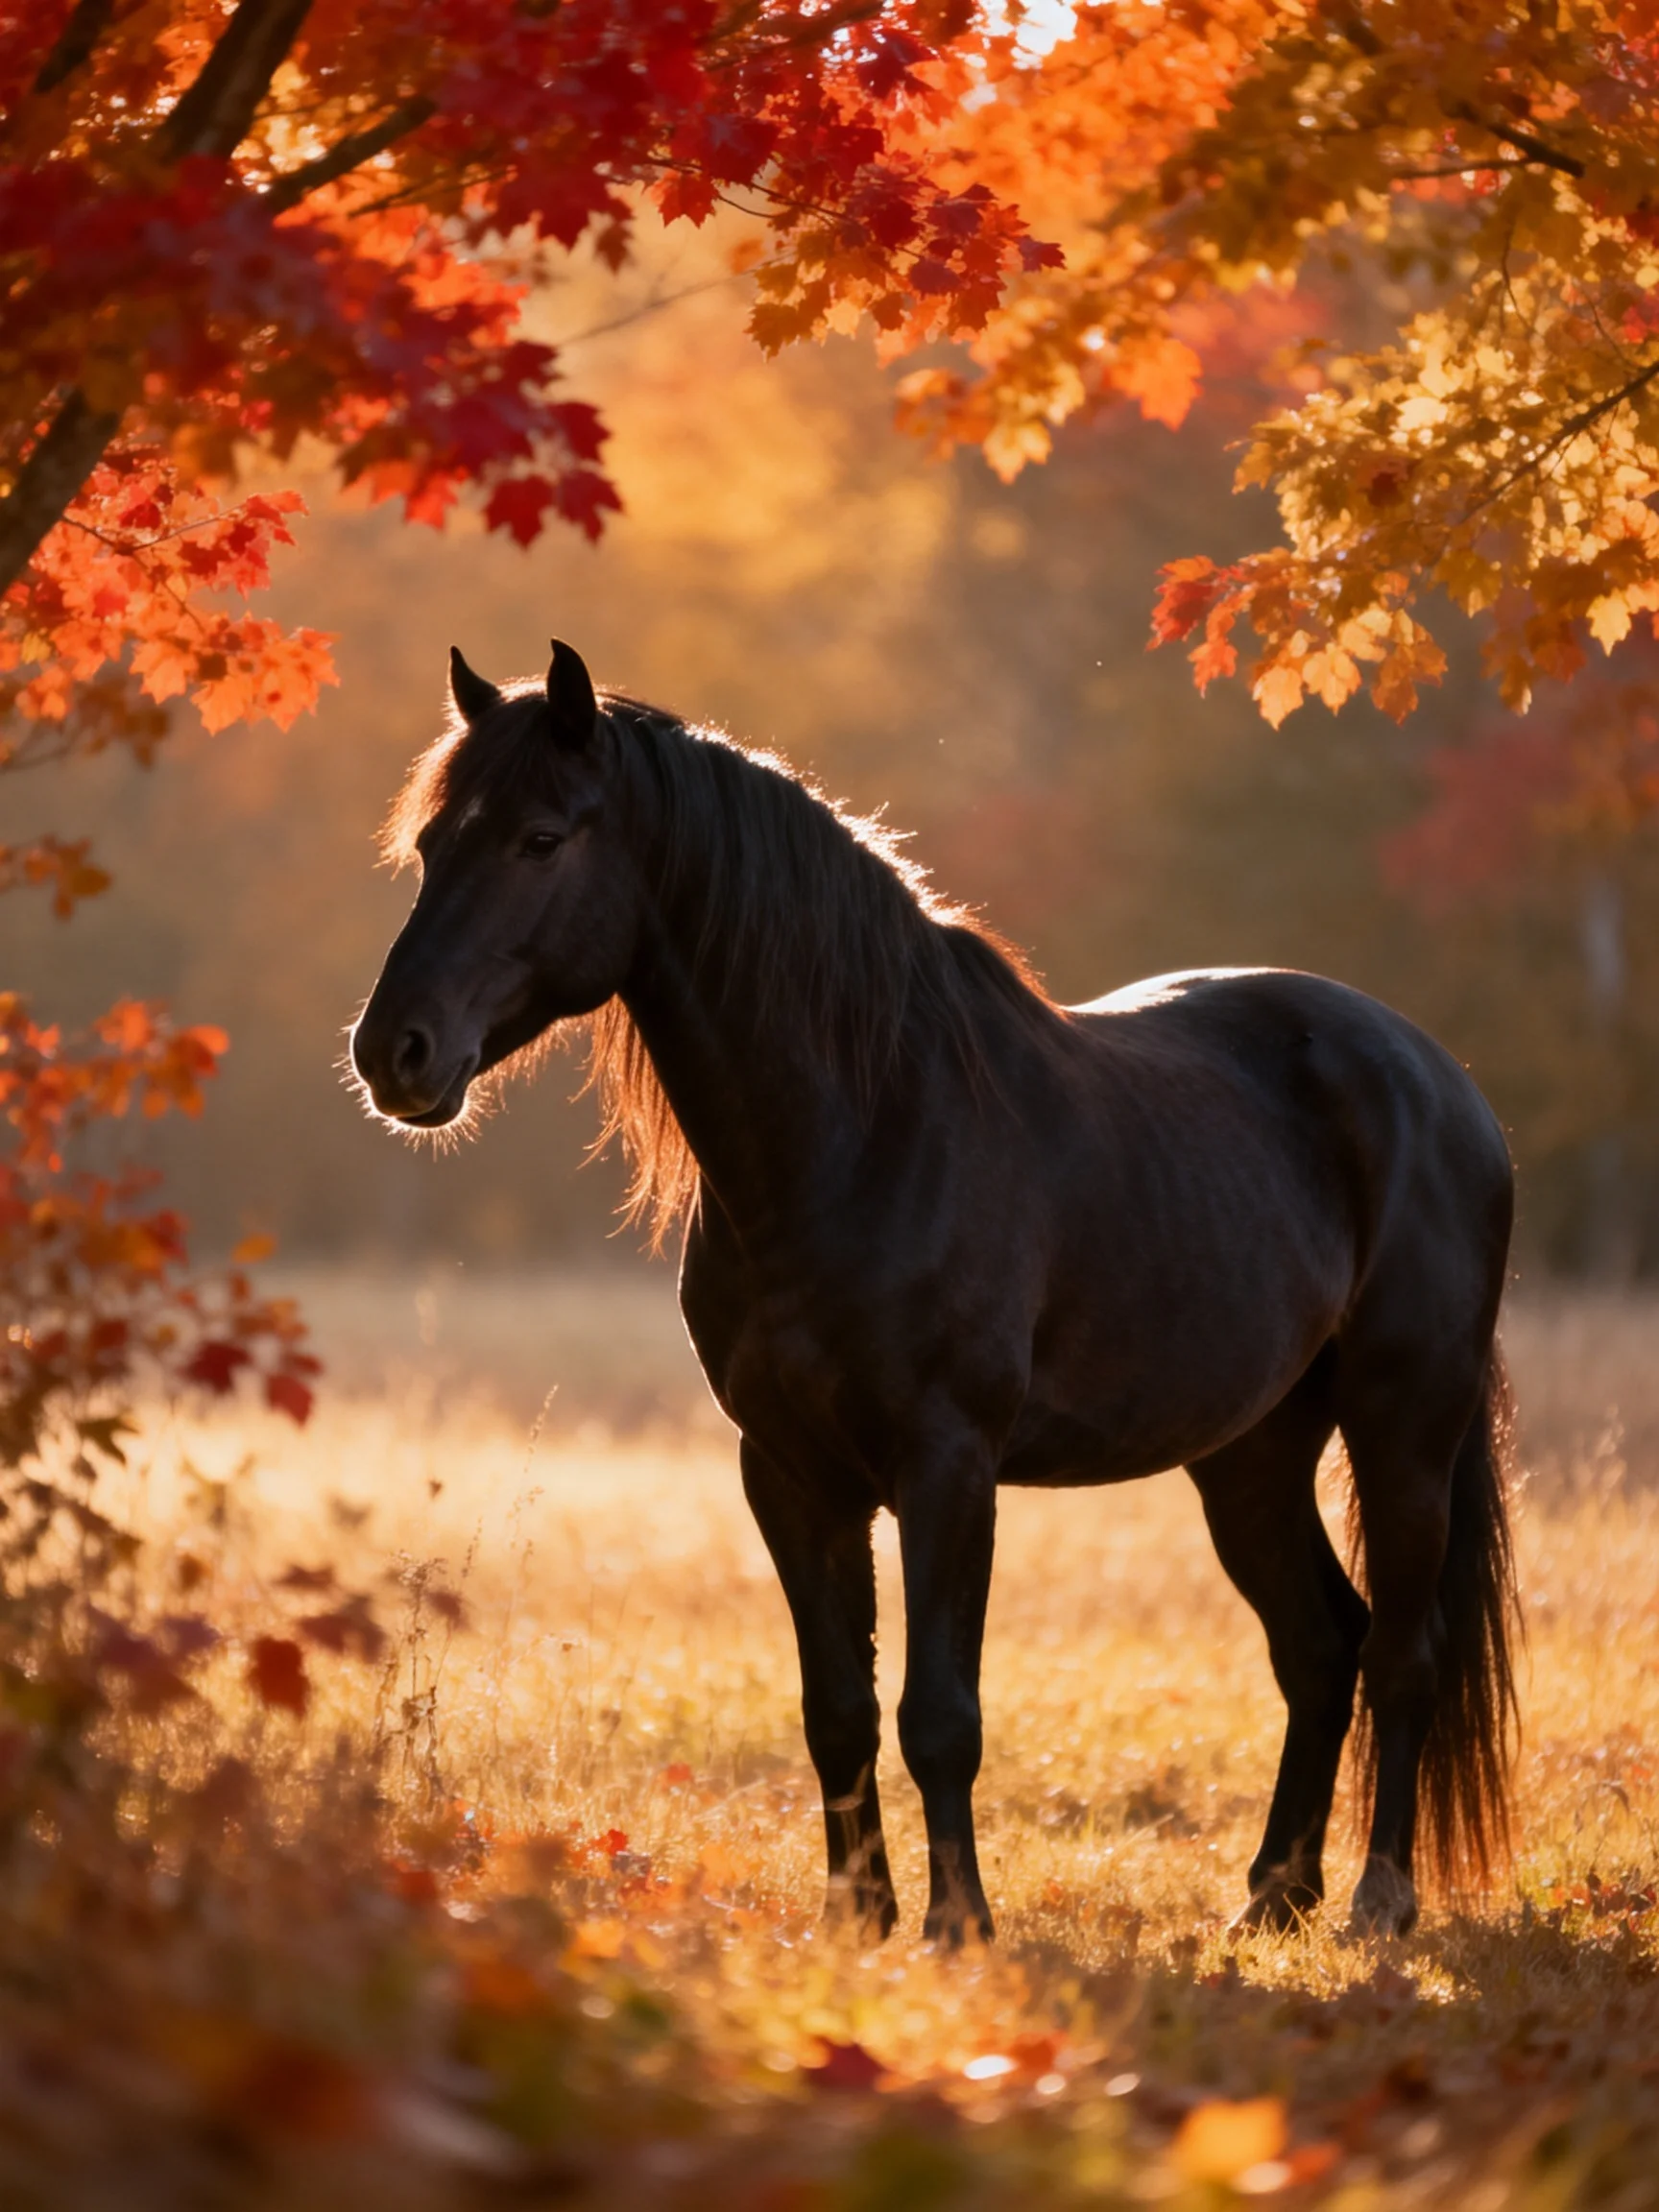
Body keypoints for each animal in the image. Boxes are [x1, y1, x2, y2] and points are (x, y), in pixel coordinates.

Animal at [351, 637, 1520, 1945]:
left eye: (542, 839)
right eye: (429, 844)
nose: (393, 1051)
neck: (860, 1135)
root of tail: (1440, 1078)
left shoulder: (947, 1464)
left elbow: (940, 1715)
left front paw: (959, 1927)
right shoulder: (790, 1474)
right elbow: (838, 1711)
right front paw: (856, 1920)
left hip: (1404, 1425)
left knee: (1404, 1652)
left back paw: (1378, 1903)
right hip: (1251, 1455)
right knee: (1322, 1646)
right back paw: (1271, 1900)